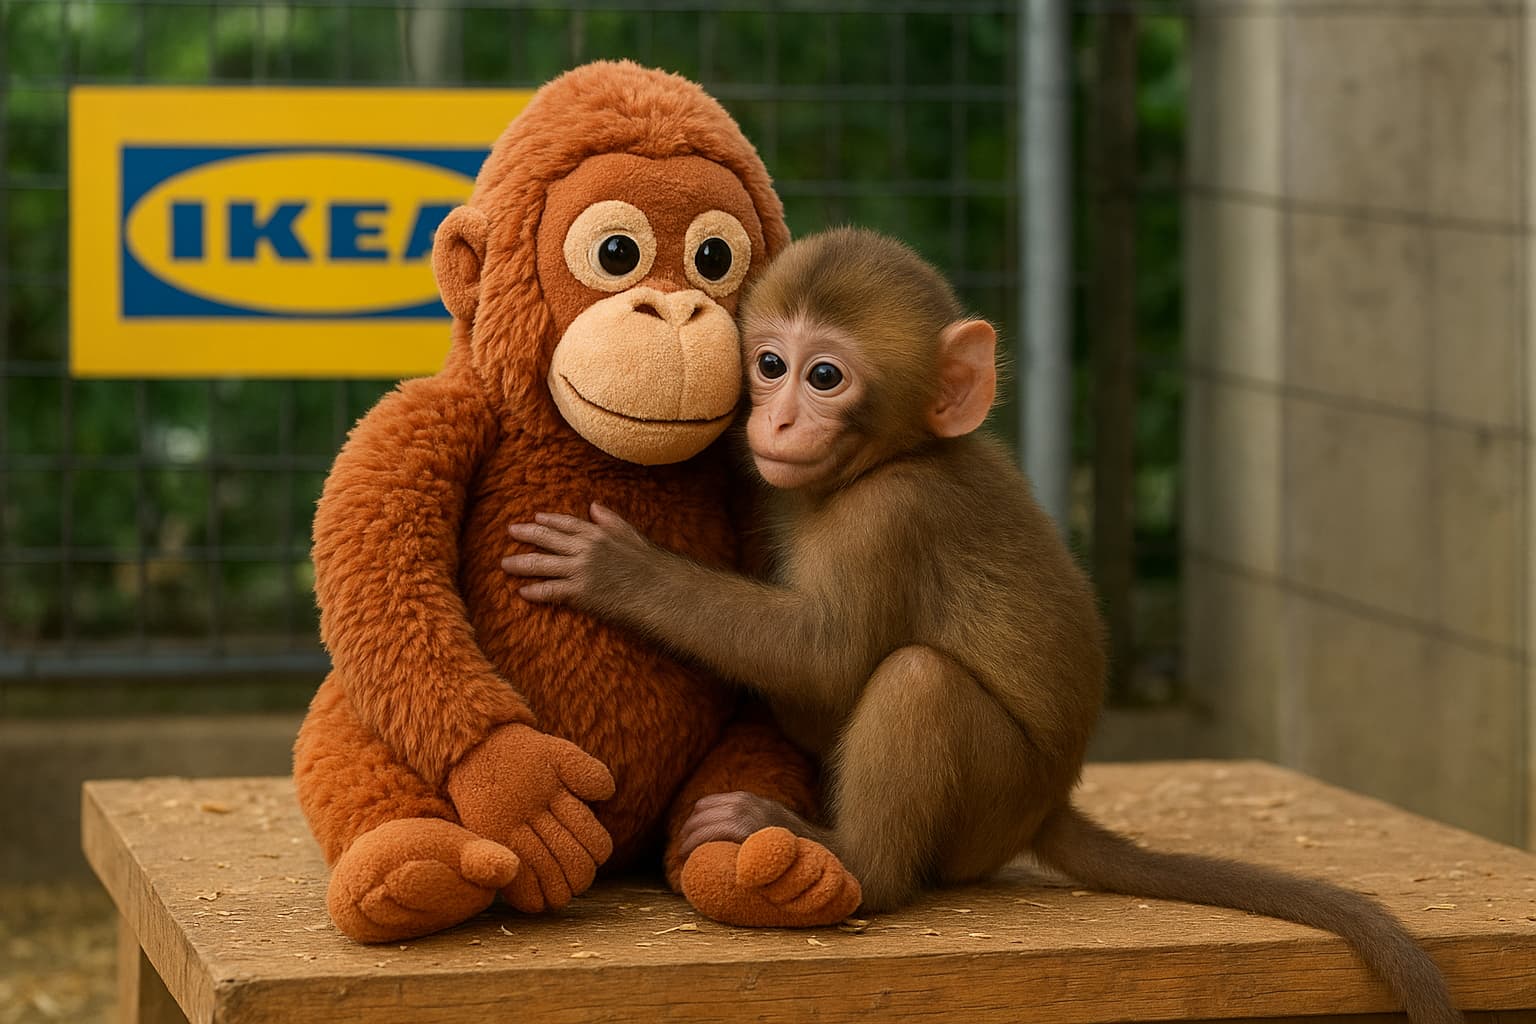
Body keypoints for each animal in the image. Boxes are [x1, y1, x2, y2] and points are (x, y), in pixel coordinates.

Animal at [502, 226, 1460, 1024]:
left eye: (824, 377)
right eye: (768, 362)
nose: (777, 419)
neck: (888, 459)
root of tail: (1049, 803)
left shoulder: (892, 517)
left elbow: (824, 656)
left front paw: (620, 572)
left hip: (993, 799)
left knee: (917, 678)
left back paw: (854, 861)